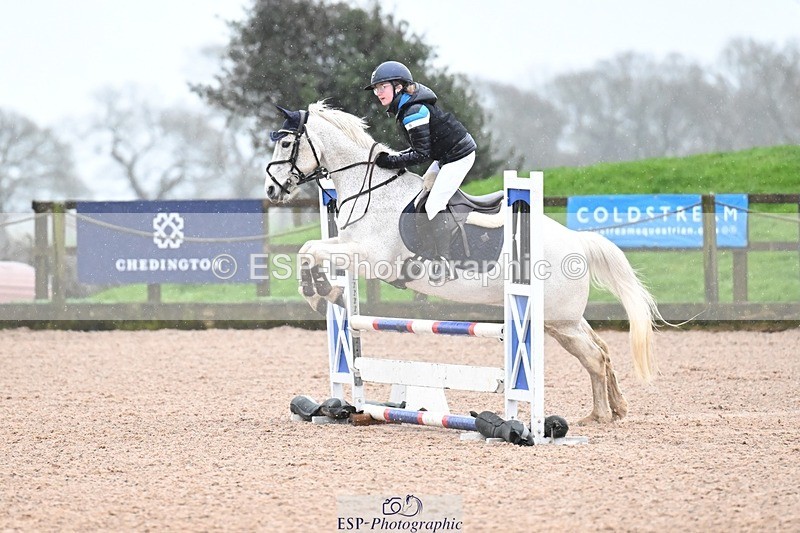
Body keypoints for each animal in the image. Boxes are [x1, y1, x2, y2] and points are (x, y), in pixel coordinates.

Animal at [265, 101, 662, 425]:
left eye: (285, 144)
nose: (271, 190)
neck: (371, 192)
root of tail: (577, 240)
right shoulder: (347, 245)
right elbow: (309, 248)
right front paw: (327, 293)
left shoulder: (372, 257)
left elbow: (310, 251)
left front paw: (322, 294)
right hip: (562, 319)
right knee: (602, 350)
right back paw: (615, 408)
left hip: (556, 319)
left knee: (593, 356)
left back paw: (598, 416)